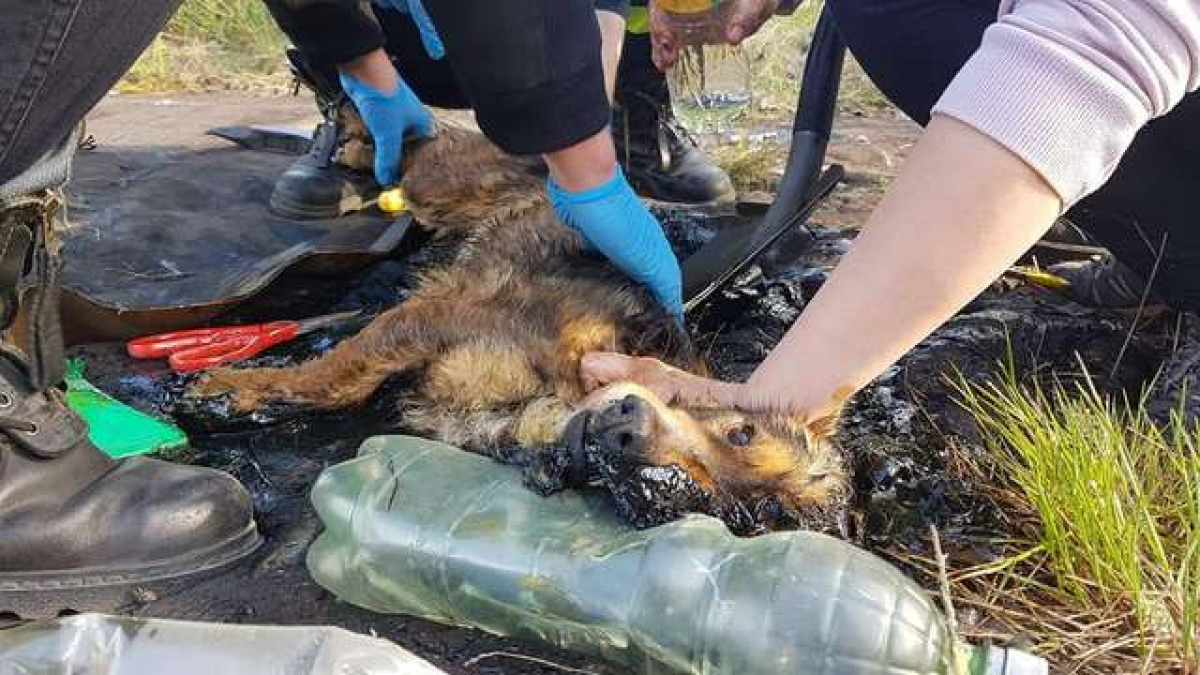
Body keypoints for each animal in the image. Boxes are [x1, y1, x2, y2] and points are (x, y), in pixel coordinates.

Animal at [192, 119, 849, 530]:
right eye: (741, 432)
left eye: (728, 507)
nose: (625, 434)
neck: (546, 404)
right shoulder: (438, 316)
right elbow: (338, 378)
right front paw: (234, 390)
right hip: (446, 178)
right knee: (409, 144)